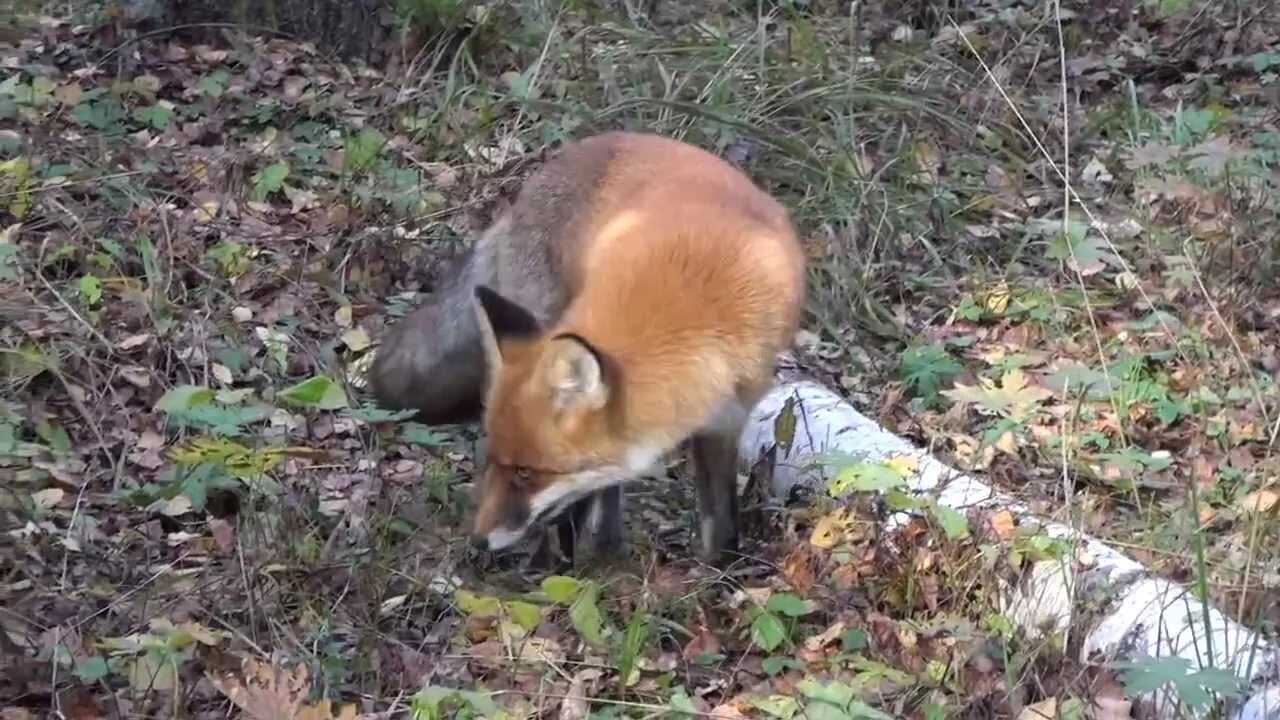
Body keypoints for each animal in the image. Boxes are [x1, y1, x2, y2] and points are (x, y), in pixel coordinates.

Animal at [371, 131, 803, 563]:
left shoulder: (728, 418)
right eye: (495, 461)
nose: (478, 540)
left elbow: (721, 519)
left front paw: (720, 571)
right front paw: (562, 567)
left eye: (526, 473)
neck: (699, 304)